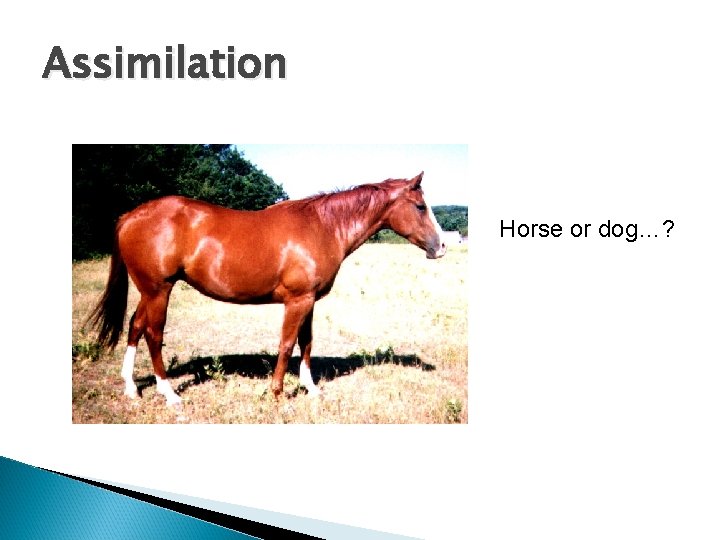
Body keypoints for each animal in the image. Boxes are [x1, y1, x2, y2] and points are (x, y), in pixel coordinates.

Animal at [88, 171, 446, 405]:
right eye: (420, 206)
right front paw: (276, 392)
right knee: (153, 335)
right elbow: (287, 344)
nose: (442, 246)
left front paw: (311, 388)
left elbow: (306, 342)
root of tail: (130, 216)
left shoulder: (310, 301)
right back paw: (169, 393)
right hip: (158, 290)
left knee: (134, 327)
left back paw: (131, 388)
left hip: (149, 291)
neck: (322, 227)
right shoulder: (297, 301)